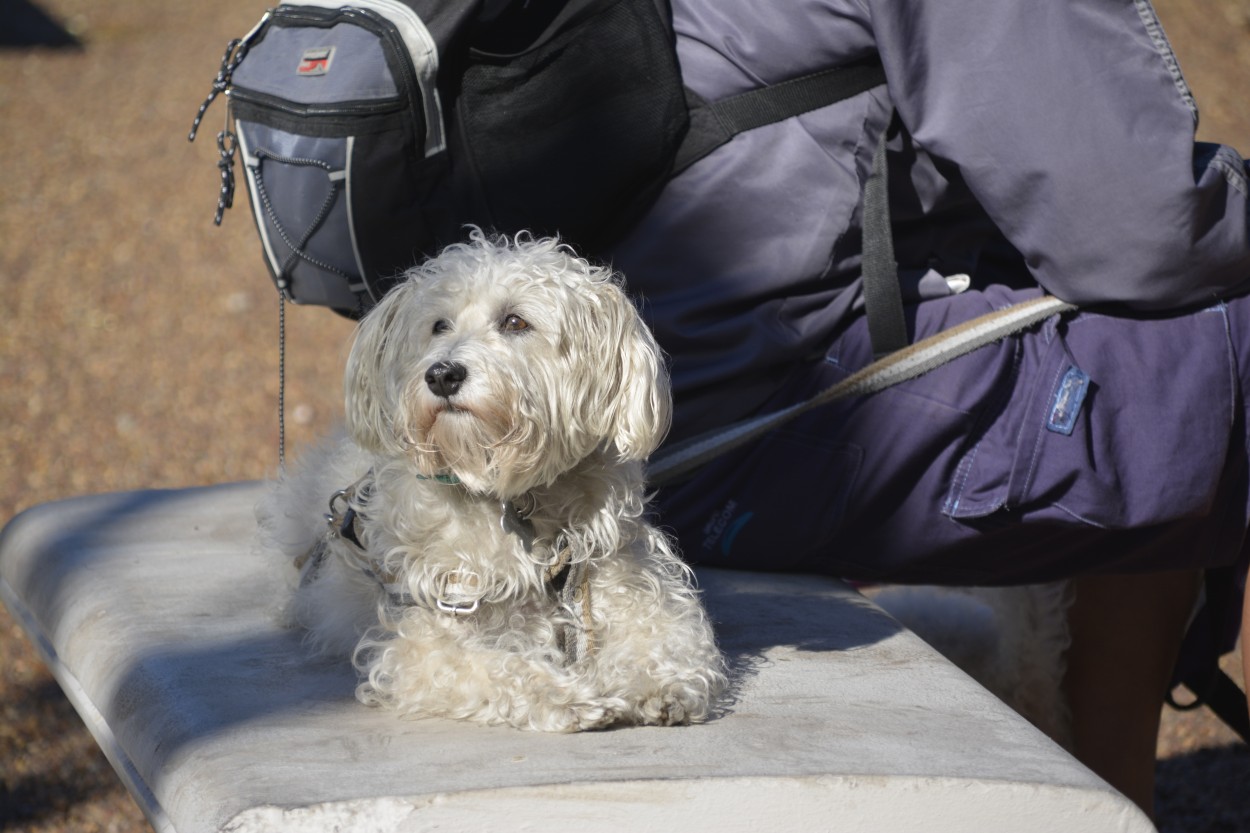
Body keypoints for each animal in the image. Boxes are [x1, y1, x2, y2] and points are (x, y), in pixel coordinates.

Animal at [258, 227, 730, 725]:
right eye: (439, 326)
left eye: (515, 322)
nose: (442, 374)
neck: (511, 496)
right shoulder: (426, 636)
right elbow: (496, 668)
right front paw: (569, 695)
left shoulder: (621, 578)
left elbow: (665, 635)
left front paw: (658, 684)